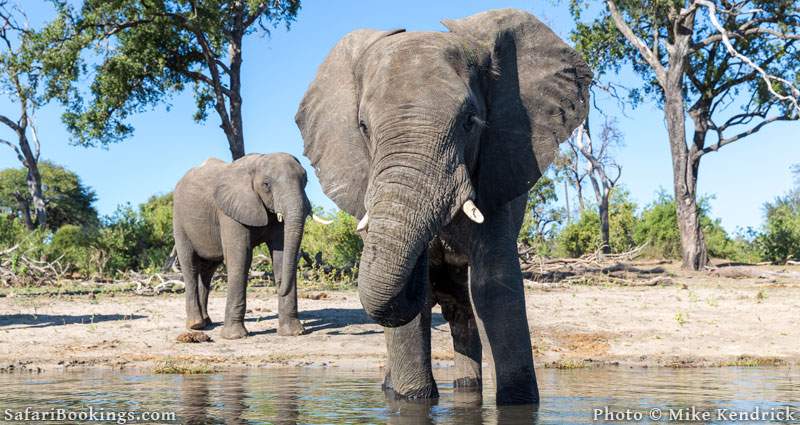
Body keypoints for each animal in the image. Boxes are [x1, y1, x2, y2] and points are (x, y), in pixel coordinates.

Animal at [173, 152, 310, 338]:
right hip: (179, 220)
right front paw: (234, 336)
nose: (279, 286)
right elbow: (240, 256)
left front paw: (293, 333)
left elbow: (281, 256)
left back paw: (207, 322)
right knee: (190, 265)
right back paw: (196, 325)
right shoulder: (229, 210)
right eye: (266, 184)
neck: (259, 161)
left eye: (305, 180)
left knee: (208, 270)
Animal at [296, 8, 592, 402]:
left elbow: (493, 286)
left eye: (470, 122)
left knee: (465, 316)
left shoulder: (497, 171)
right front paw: (412, 398)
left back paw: (467, 387)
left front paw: (517, 402)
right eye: (363, 127)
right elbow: (414, 312)